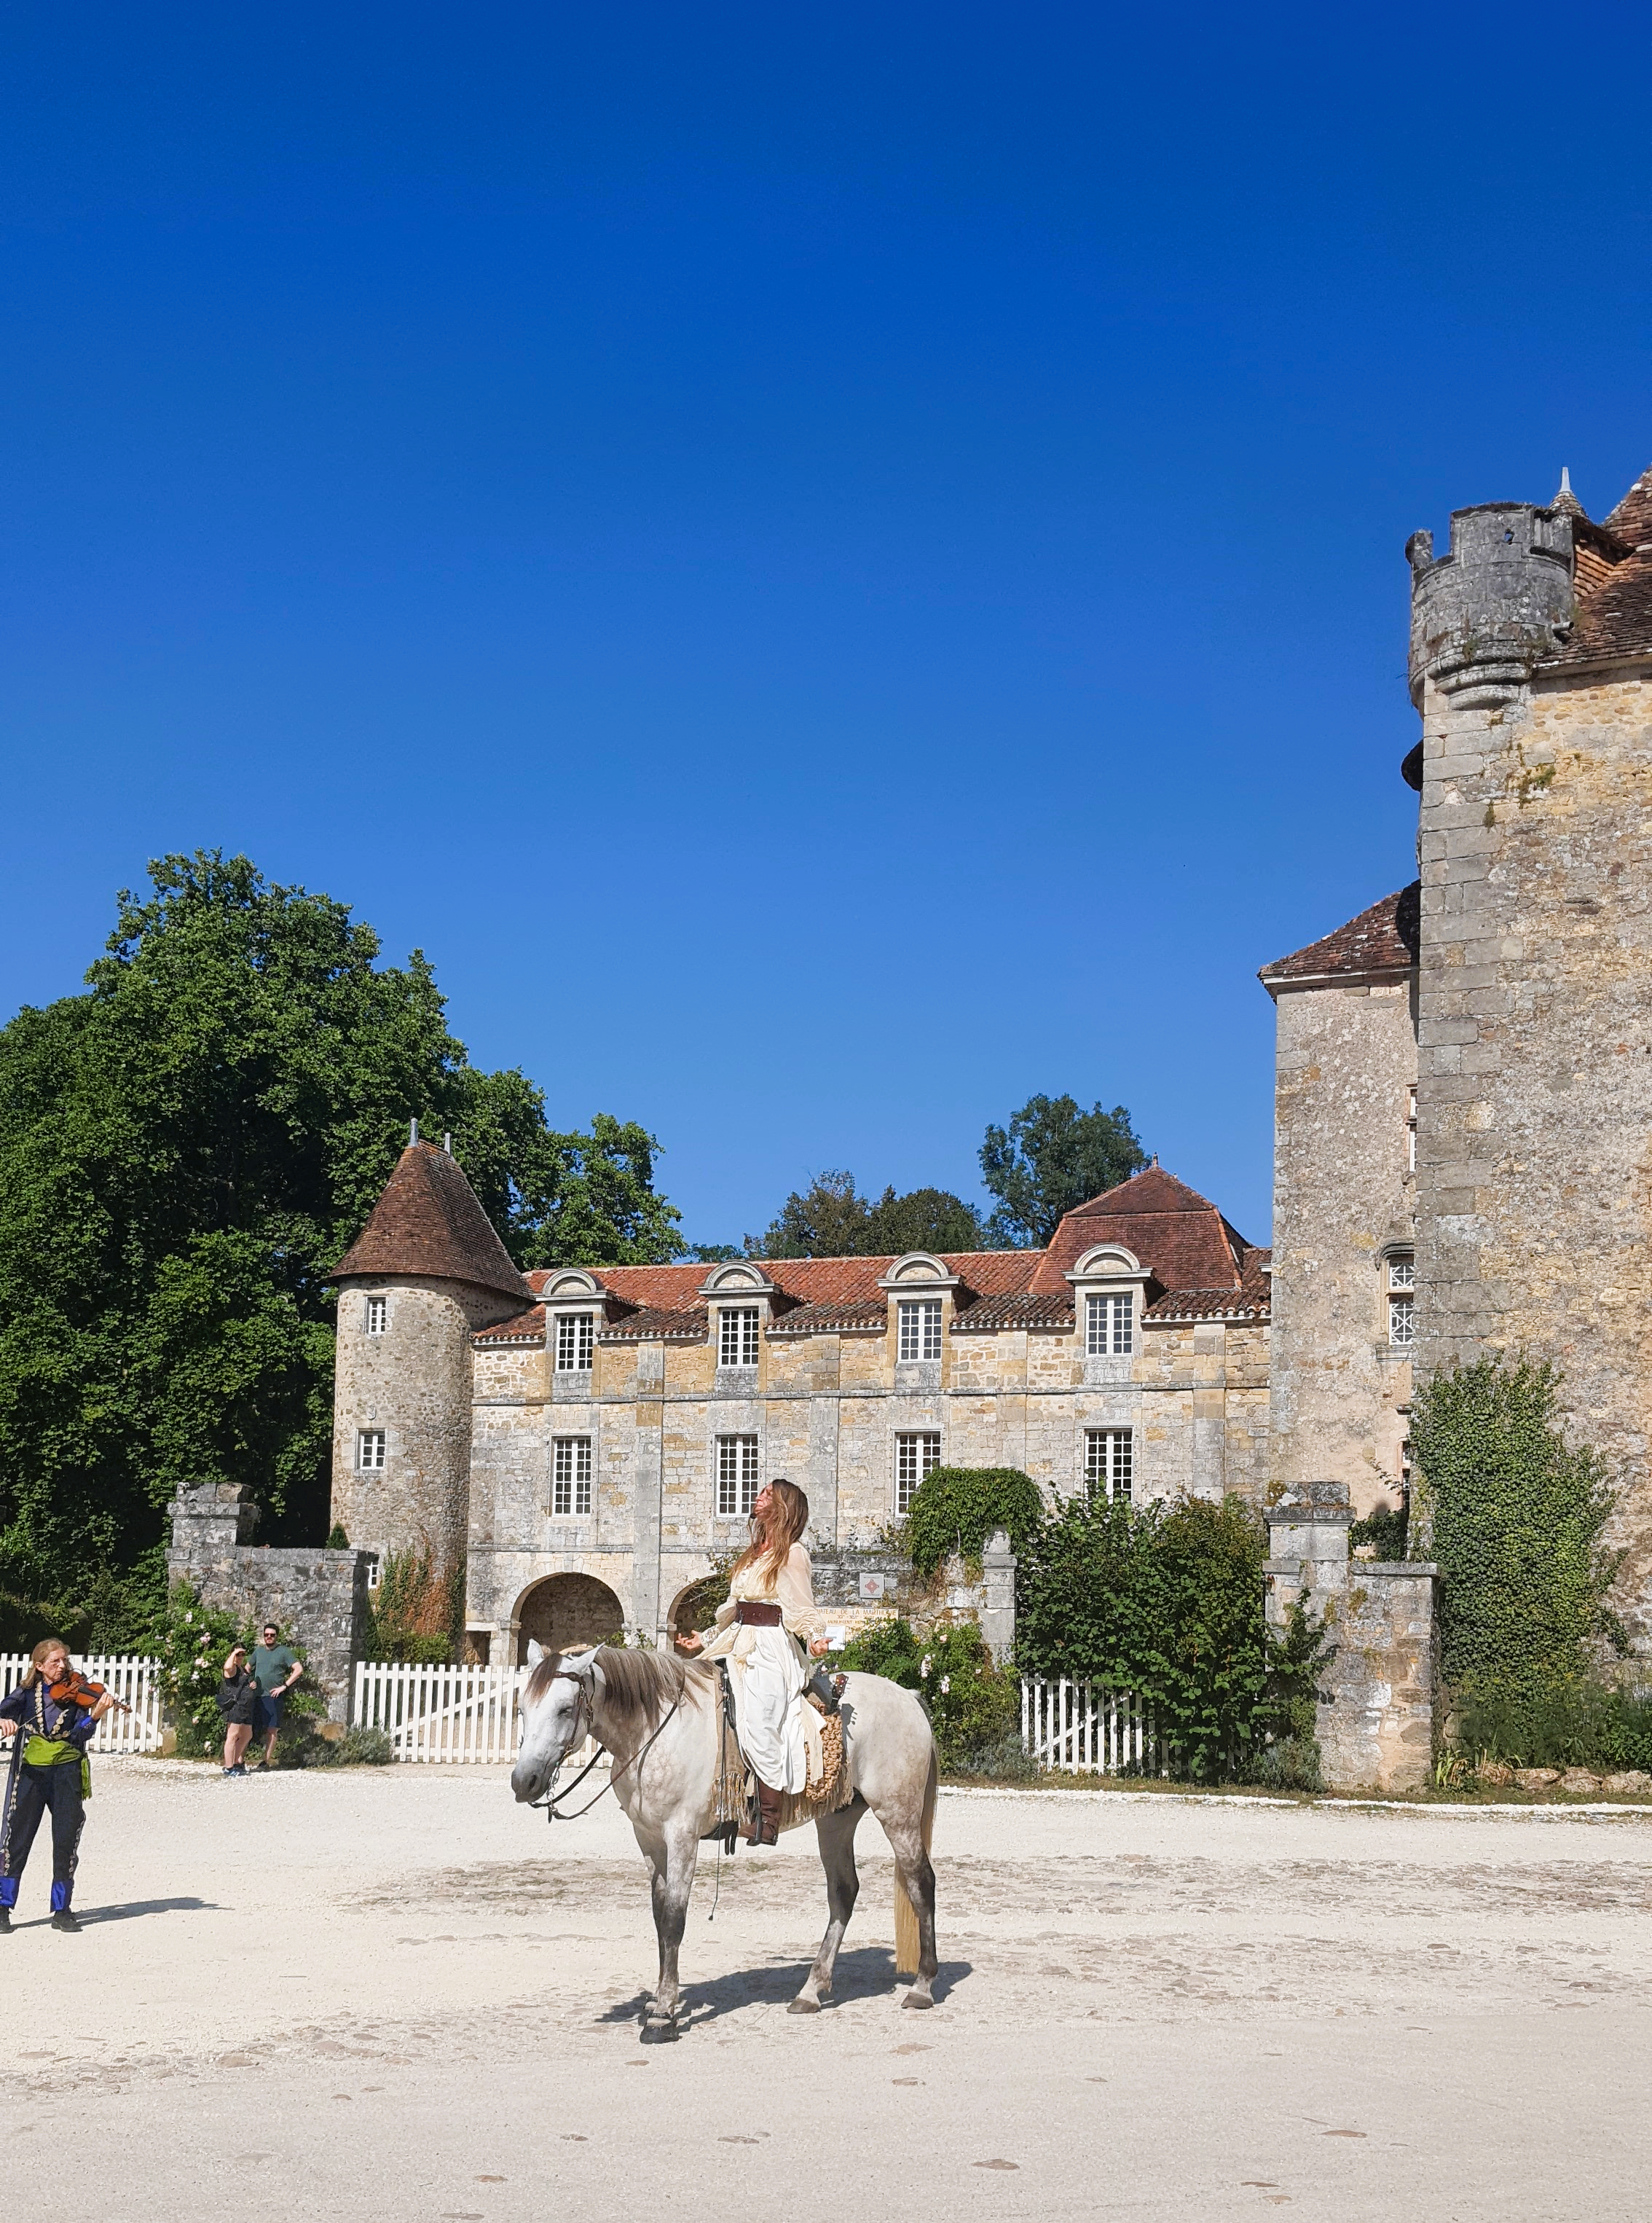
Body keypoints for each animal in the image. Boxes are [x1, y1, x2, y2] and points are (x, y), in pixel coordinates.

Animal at [511, 1644, 938, 2036]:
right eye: (522, 1708)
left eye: (565, 1709)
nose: (523, 1781)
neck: (654, 1731)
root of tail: (908, 1696)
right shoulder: (649, 1840)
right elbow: (659, 1917)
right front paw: (660, 1998)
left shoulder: (682, 1836)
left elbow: (674, 1920)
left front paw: (663, 2015)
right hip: (837, 1821)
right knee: (843, 1892)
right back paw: (810, 1991)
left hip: (897, 1813)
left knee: (921, 1883)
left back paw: (922, 1986)